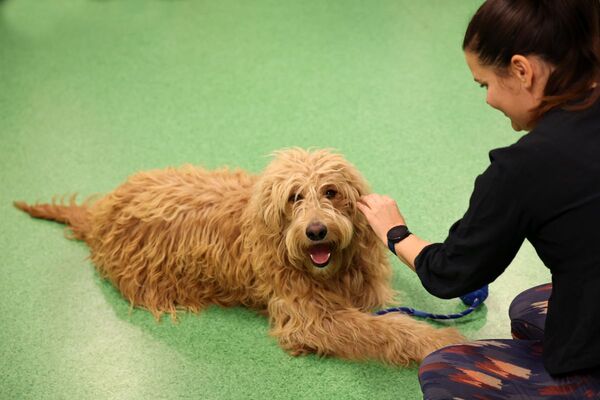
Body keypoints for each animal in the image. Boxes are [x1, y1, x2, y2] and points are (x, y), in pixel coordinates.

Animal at [15, 148, 464, 366]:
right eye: (294, 196)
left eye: (331, 191)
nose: (316, 231)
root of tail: (100, 214)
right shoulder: (310, 317)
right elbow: (383, 329)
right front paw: (437, 342)